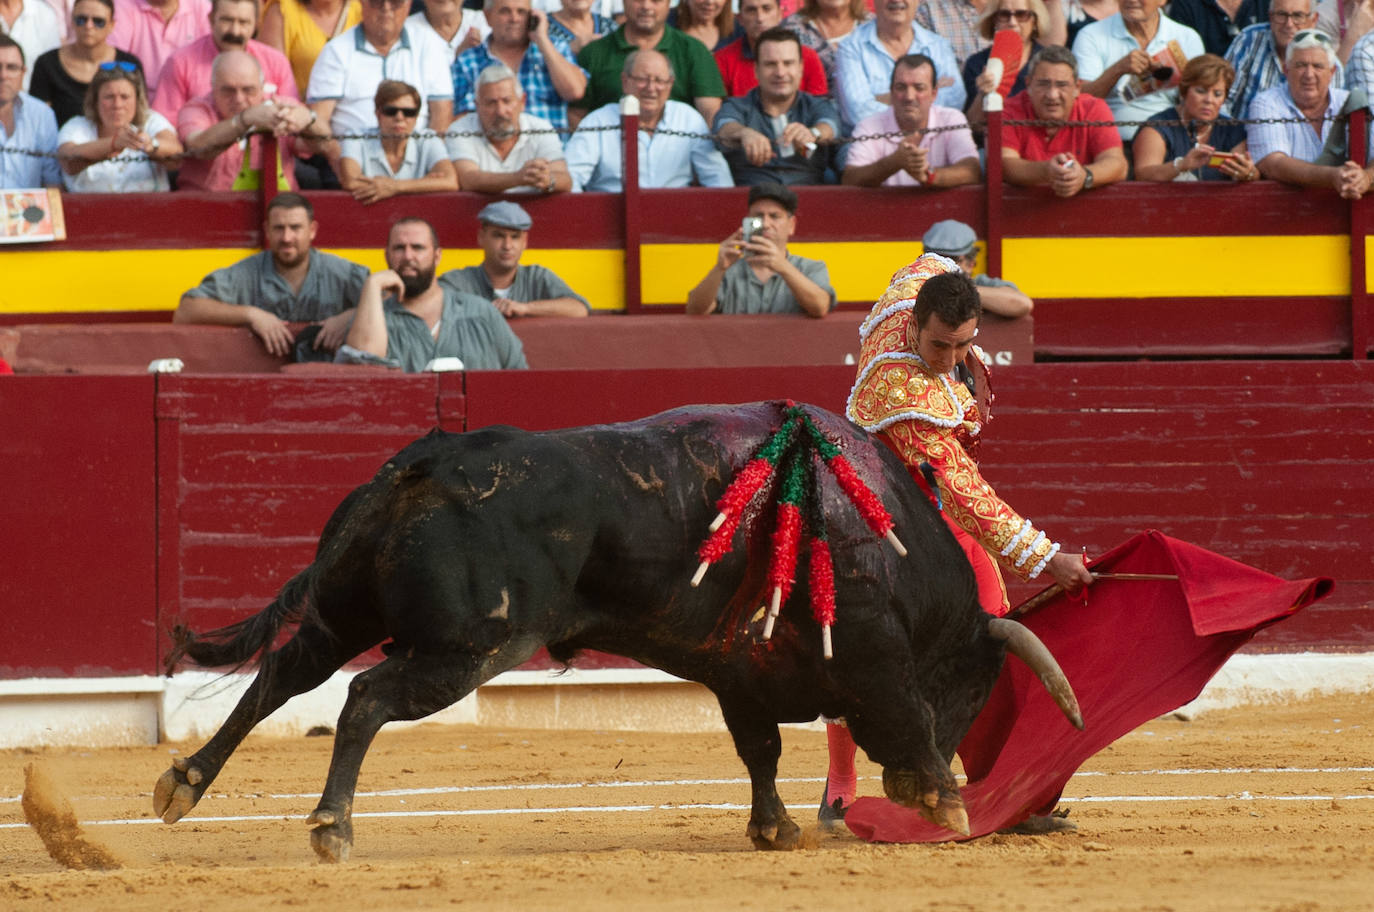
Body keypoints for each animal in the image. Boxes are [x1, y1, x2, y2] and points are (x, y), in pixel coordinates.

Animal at [150, 401, 1071, 862]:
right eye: (976, 691)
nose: (937, 781)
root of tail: (424, 462)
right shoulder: (876, 653)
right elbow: (898, 713)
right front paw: (945, 801)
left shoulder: (739, 674)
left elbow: (760, 750)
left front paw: (773, 829)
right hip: (466, 649)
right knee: (367, 699)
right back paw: (331, 827)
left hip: (346, 613)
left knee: (281, 678)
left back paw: (184, 783)